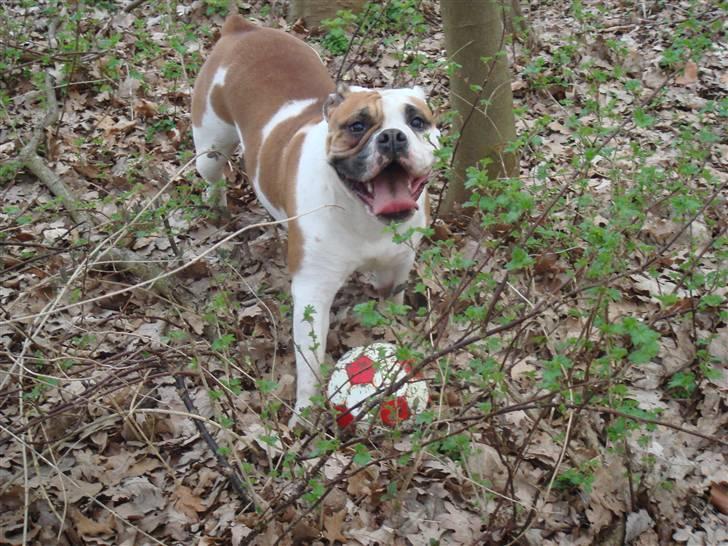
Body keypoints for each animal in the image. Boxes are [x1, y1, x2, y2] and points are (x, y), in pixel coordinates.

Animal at [191, 13, 438, 420]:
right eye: (357, 126)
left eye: (417, 121)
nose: (391, 136)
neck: (361, 215)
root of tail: (241, 28)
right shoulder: (313, 291)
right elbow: (309, 361)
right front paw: (305, 415)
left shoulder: (396, 267)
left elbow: (391, 311)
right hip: (209, 150)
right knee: (213, 175)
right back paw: (217, 208)